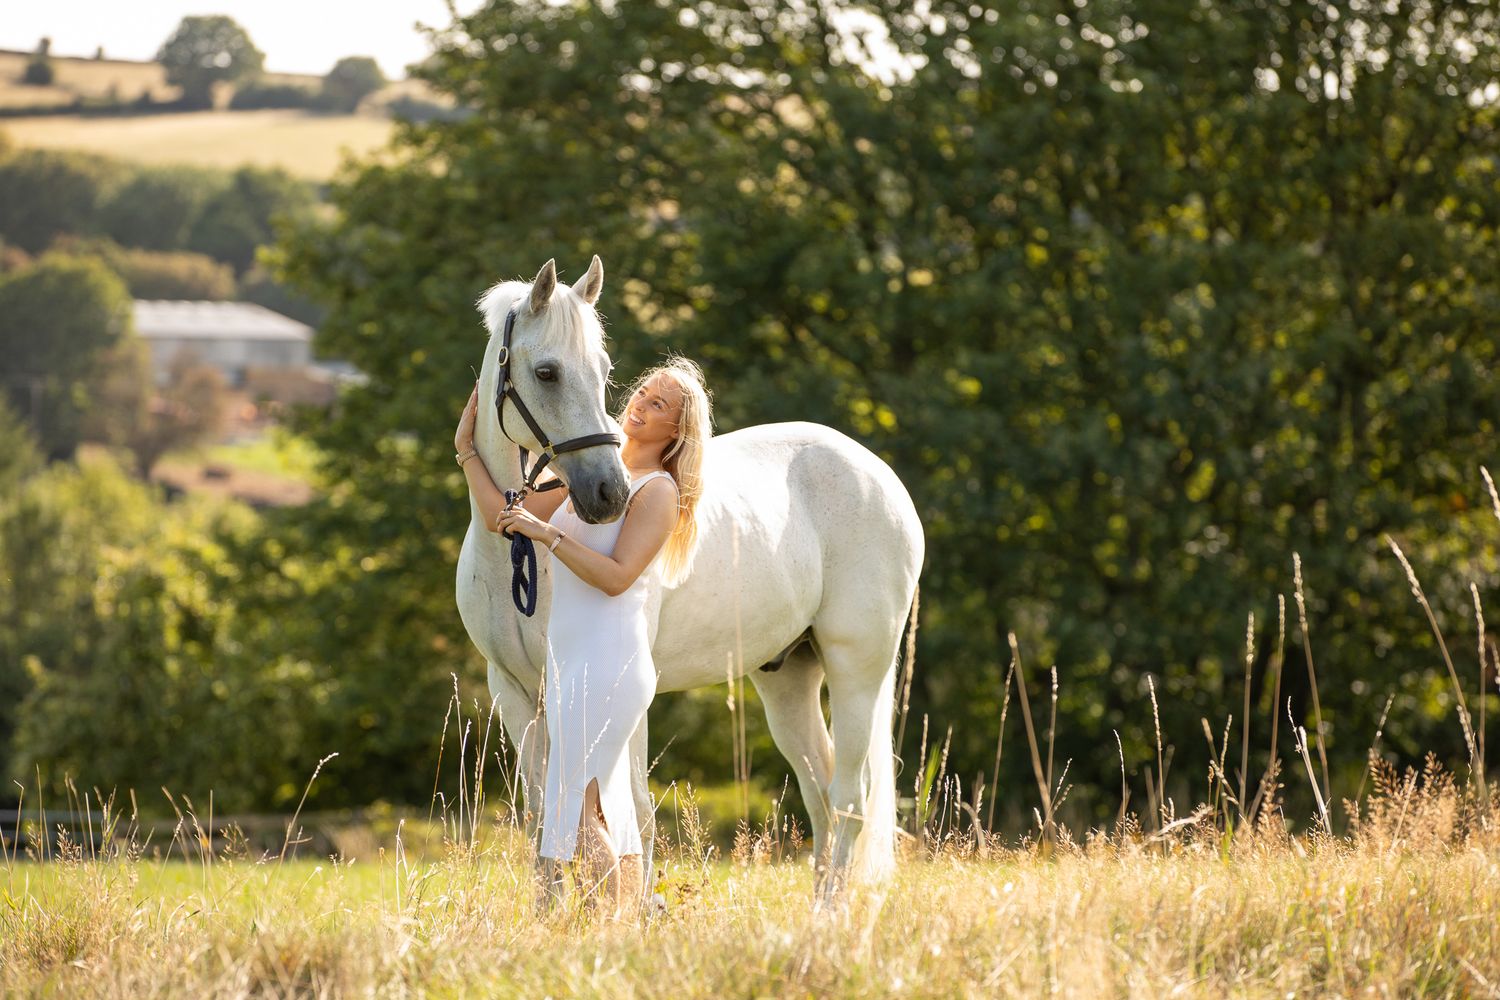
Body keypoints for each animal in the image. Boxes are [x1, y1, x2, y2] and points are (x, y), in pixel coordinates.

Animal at [455, 257, 924, 897]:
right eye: (546, 372)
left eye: (604, 370)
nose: (610, 493)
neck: (516, 554)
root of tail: (880, 476)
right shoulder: (516, 691)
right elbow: (543, 816)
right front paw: (550, 913)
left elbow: (630, 815)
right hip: (788, 677)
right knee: (822, 796)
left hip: (859, 668)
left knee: (851, 799)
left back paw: (830, 916)